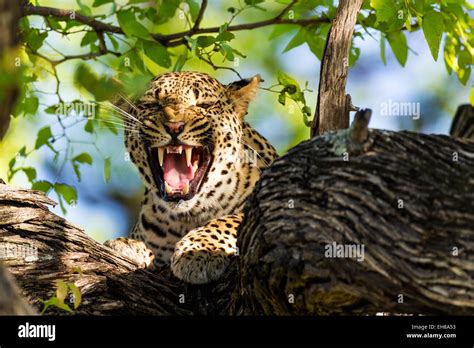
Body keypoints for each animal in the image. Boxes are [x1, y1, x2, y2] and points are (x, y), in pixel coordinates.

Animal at [105, 70, 278, 282]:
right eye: (152, 104)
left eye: (204, 105)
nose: (174, 126)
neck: (188, 217)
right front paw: (127, 245)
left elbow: (231, 219)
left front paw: (200, 249)